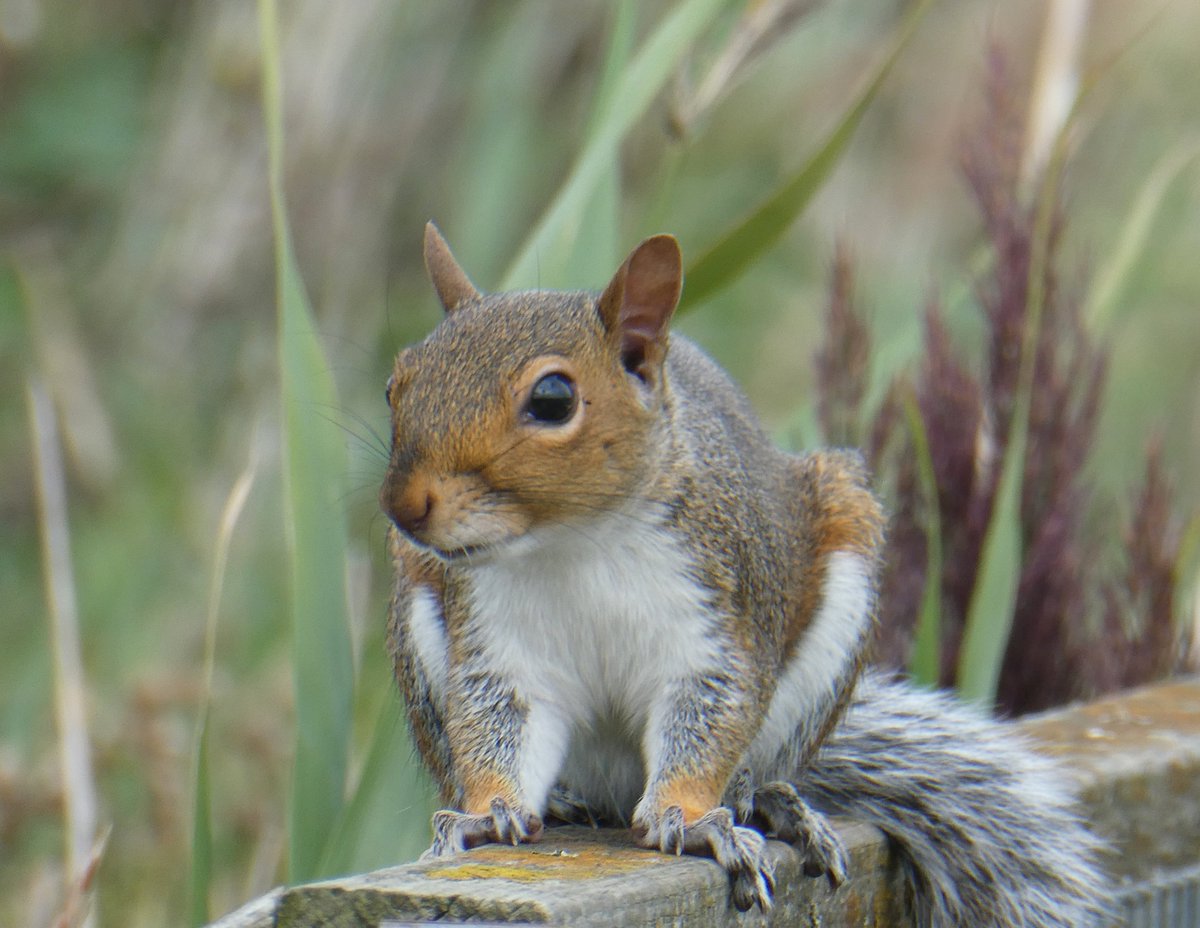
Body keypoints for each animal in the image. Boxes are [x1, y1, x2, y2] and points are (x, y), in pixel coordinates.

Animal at [380, 223, 1111, 925]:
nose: (403, 506)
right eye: (397, 383)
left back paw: (764, 803)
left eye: (554, 399)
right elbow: (495, 722)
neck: (572, 541)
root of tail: (613, 790)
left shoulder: (718, 619)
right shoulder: (500, 648)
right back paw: (561, 801)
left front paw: (687, 816)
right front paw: (485, 814)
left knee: (755, 768)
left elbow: (711, 714)